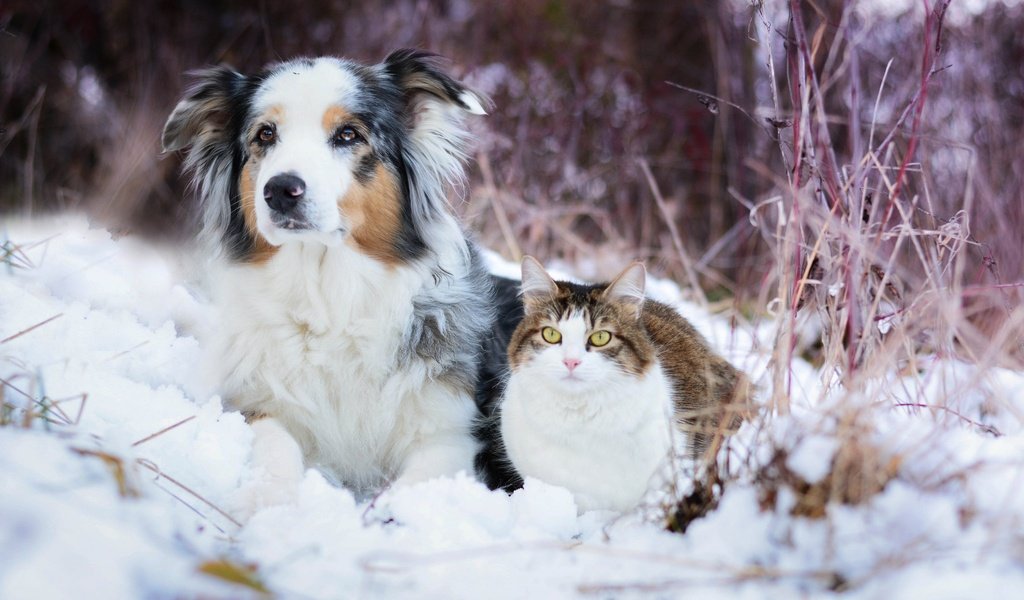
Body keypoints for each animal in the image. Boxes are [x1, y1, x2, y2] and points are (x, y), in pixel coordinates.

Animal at [161, 49, 509, 501]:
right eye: (265, 135)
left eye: (347, 135)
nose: (280, 191)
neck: (329, 296)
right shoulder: (255, 402)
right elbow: (276, 444)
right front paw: (267, 501)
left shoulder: (450, 436)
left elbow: (413, 489)